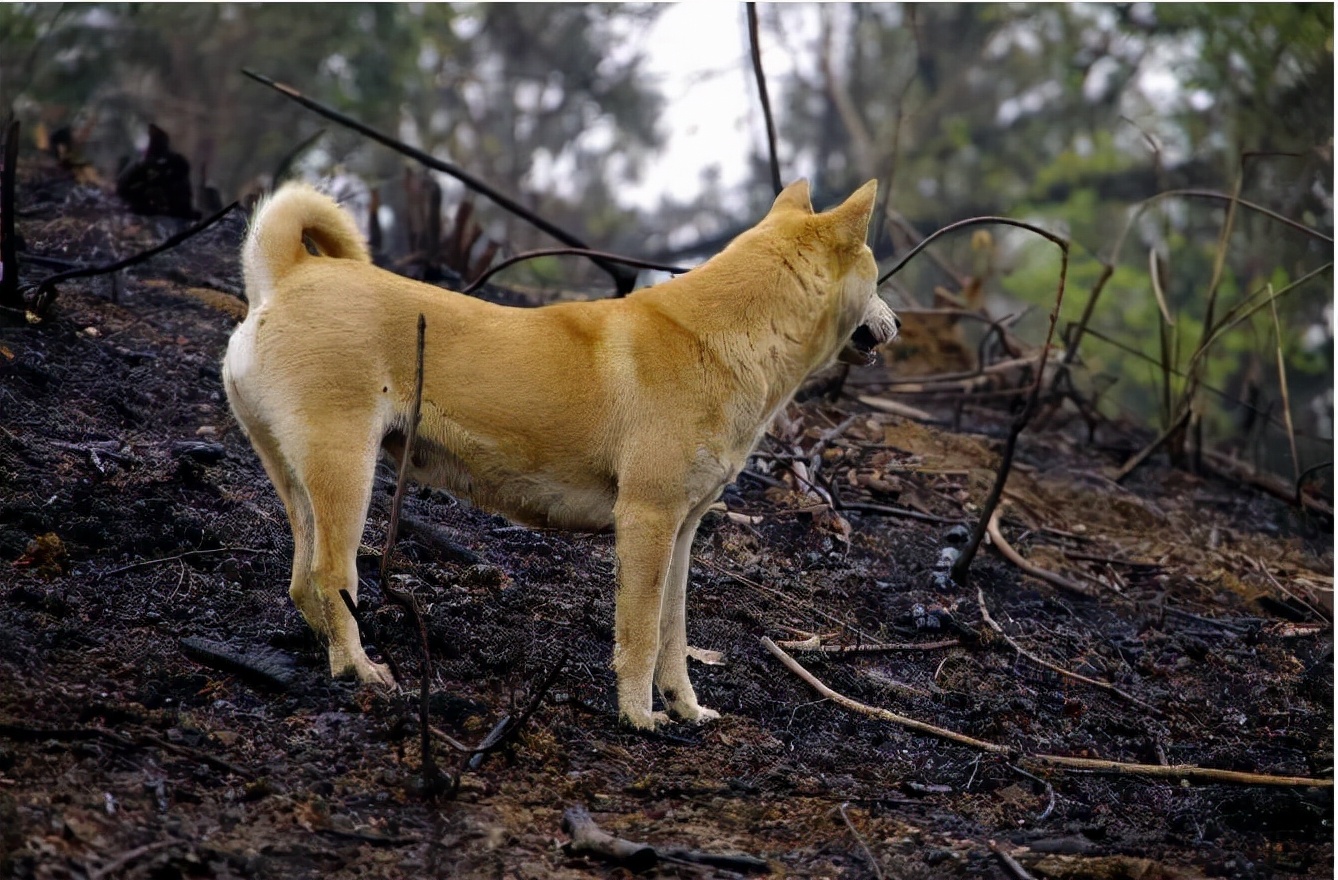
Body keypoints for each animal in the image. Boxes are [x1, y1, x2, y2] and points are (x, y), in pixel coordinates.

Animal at [224, 177, 899, 727]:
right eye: (878, 274)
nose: (895, 323)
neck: (720, 337)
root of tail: (286, 276)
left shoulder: (682, 531)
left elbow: (674, 634)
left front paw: (686, 709)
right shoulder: (647, 520)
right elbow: (641, 636)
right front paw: (639, 718)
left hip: (300, 478)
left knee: (301, 583)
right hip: (346, 471)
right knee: (331, 575)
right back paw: (358, 670)